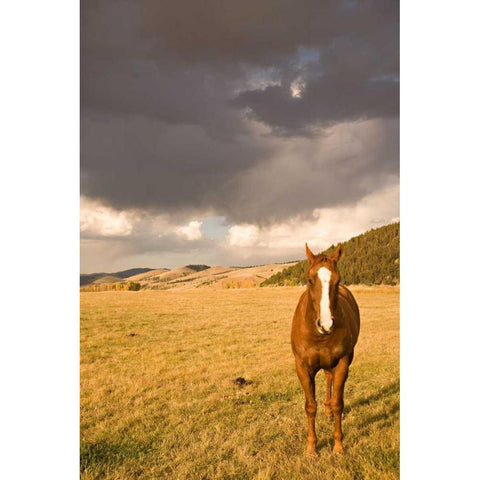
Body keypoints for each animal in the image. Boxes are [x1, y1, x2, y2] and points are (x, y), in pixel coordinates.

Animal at [288, 244, 360, 454]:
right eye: (309, 280)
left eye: (338, 280)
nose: (326, 325)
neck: (318, 336)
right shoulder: (302, 367)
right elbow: (310, 406)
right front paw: (311, 448)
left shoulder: (342, 364)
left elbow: (338, 403)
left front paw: (338, 446)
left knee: (329, 380)